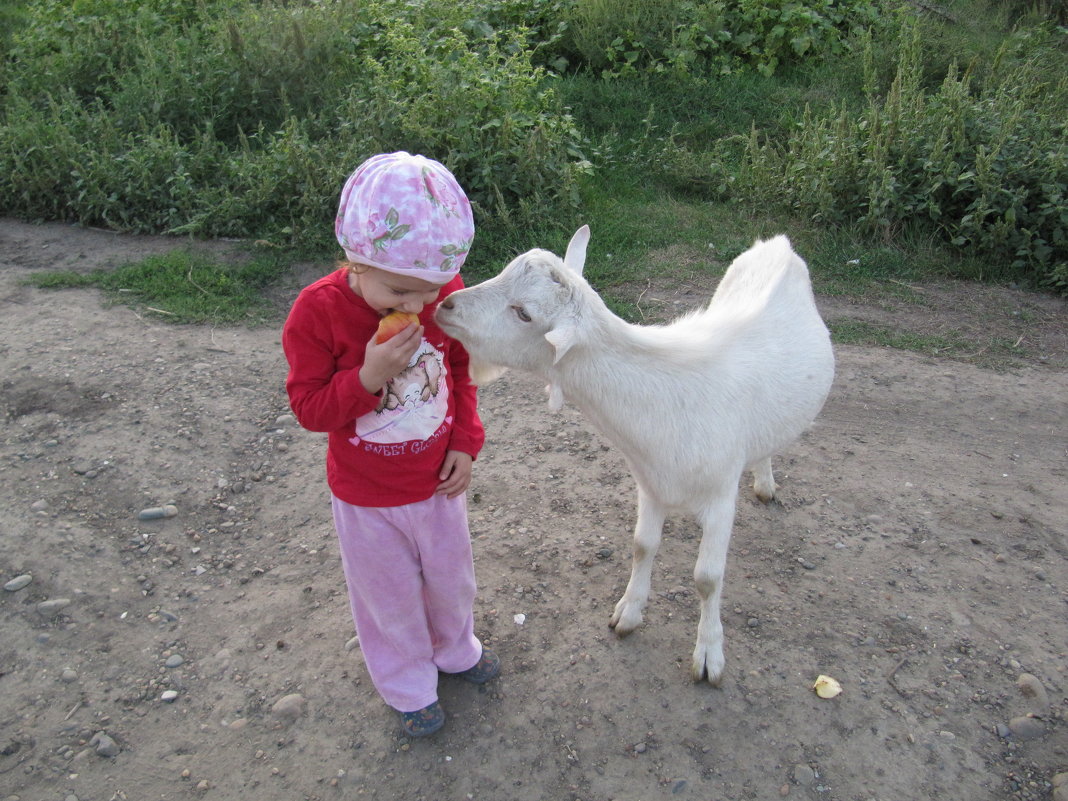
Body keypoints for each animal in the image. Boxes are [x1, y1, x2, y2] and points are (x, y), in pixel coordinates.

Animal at [433, 226, 833, 683]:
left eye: (524, 314)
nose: (446, 305)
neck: (665, 398)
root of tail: (777, 243)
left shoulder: (719, 496)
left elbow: (708, 578)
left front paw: (709, 653)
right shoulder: (651, 483)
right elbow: (643, 545)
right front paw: (628, 613)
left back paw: (765, 483)